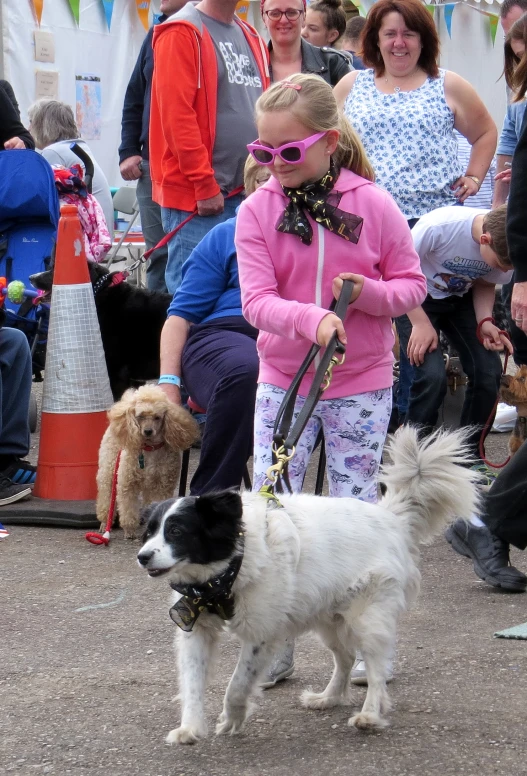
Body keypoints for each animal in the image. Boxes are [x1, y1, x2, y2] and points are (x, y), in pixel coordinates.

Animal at [136, 428, 478, 744]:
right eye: (149, 532)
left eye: (177, 531)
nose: (142, 557)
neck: (230, 566)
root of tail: (391, 516)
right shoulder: (196, 626)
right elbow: (193, 681)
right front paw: (190, 728)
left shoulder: (262, 634)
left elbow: (237, 684)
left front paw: (232, 718)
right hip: (328, 619)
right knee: (346, 658)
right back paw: (328, 698)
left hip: (367, 618)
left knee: (376, 668)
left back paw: (369, 715)